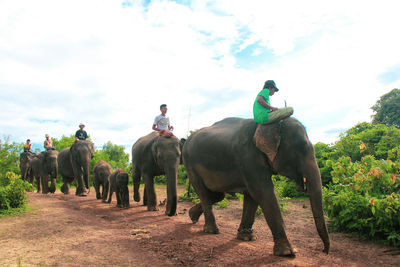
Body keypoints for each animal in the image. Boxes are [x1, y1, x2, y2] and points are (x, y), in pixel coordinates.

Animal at [183, 117, 330, 258]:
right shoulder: (248, 157)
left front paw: (247, 238)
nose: (324, 251)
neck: (271, 123)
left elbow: (252, 196)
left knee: (216, 195)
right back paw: (211, 230)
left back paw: (192, 216)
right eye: (301, 149)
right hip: (189, 164)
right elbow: (262, 192)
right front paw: (287, 252)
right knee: (204, 193)